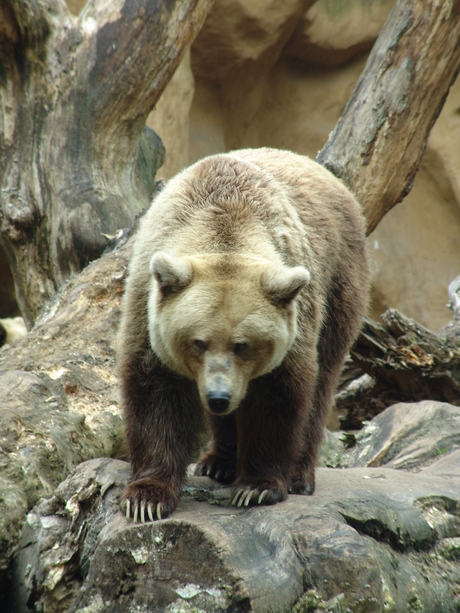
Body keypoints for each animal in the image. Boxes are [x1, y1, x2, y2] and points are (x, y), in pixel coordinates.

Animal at [118, 147, 370, 520]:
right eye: (198, 342)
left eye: (243, 345)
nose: (219, 397)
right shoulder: (147, 308)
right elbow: (155, 394)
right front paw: (146, 496)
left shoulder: (294, 319)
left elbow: (277, 397)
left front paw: (257, 487)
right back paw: (217, 462)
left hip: (339, 282)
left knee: (322, 381)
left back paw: (299, 475)